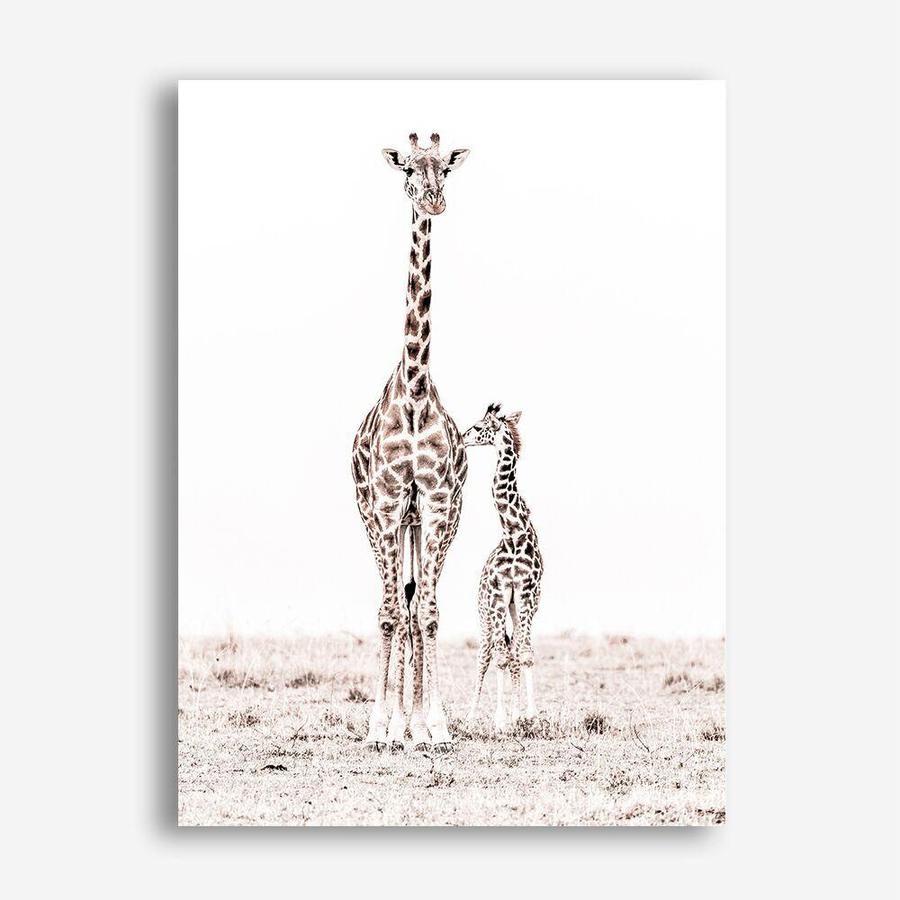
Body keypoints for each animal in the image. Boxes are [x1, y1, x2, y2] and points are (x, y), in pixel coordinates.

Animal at [462, 404, 543, 731]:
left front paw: (528, 716)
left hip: (513, 607)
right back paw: (470, 717)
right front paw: (499, 720)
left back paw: (515, 713)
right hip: (484, 611)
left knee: (512, 649)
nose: (461, 437)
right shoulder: (498, 594)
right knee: (485, 654)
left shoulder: (526, 593)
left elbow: (525, 654)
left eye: (477, 426)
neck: (513, 533)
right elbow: (499, 658)